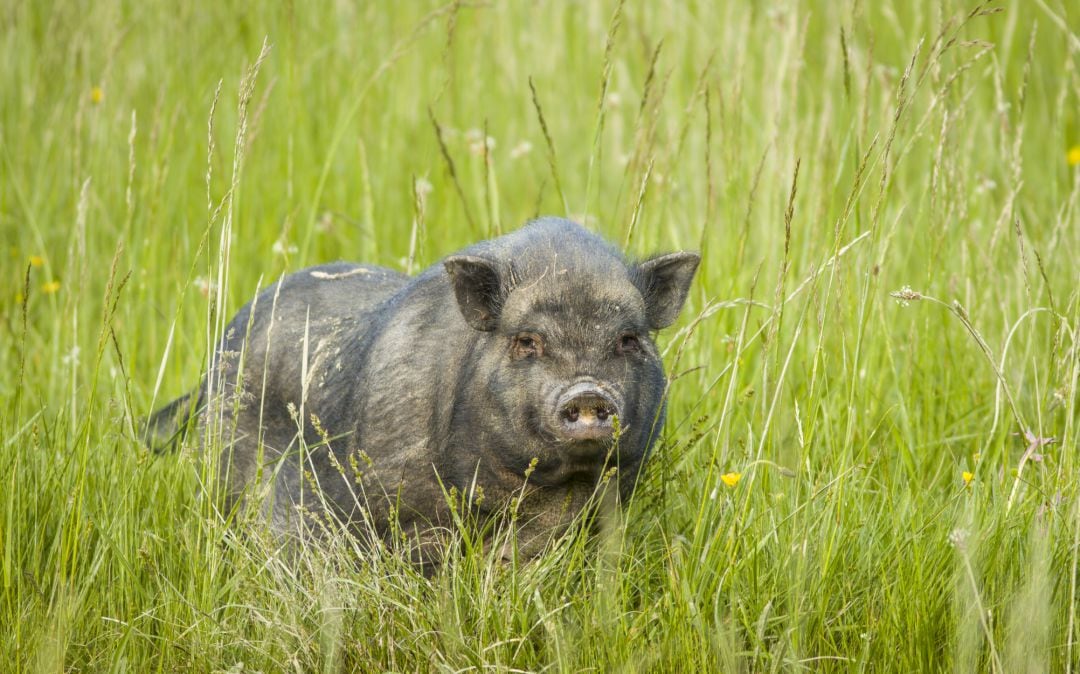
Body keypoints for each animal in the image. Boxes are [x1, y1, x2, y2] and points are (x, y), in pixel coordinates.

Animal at [145, 218, 699, 565]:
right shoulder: (407, 510)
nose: (587, 392)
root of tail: (220, 349)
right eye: (526, 340)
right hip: (225, 468)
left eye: (628, 339)